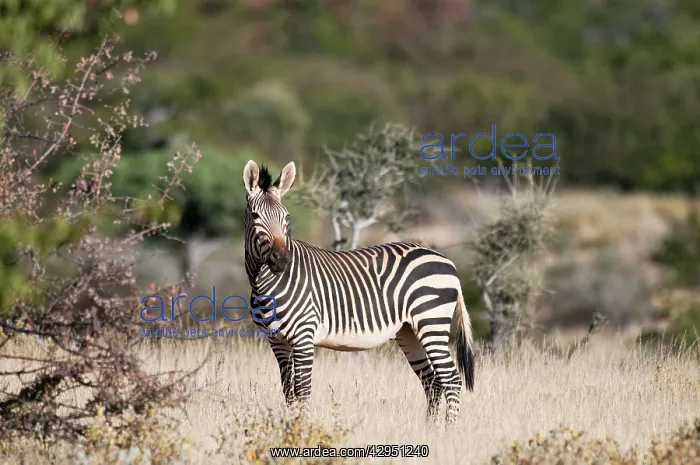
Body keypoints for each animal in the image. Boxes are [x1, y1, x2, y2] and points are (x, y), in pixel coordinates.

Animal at [242, 160, 475, 423]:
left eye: (286, 217)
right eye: (255, 216)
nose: (281, 260)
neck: (265, 283)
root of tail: (447, 261)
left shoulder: (303, 335)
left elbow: (302, 389)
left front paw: (303, 427)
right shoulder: (277, 341)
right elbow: (288, 390)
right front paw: (291, 425)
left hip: (431, 321)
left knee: (451, 378)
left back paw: (448, 429)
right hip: (409, 331)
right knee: (432, 381)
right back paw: (430, 428)